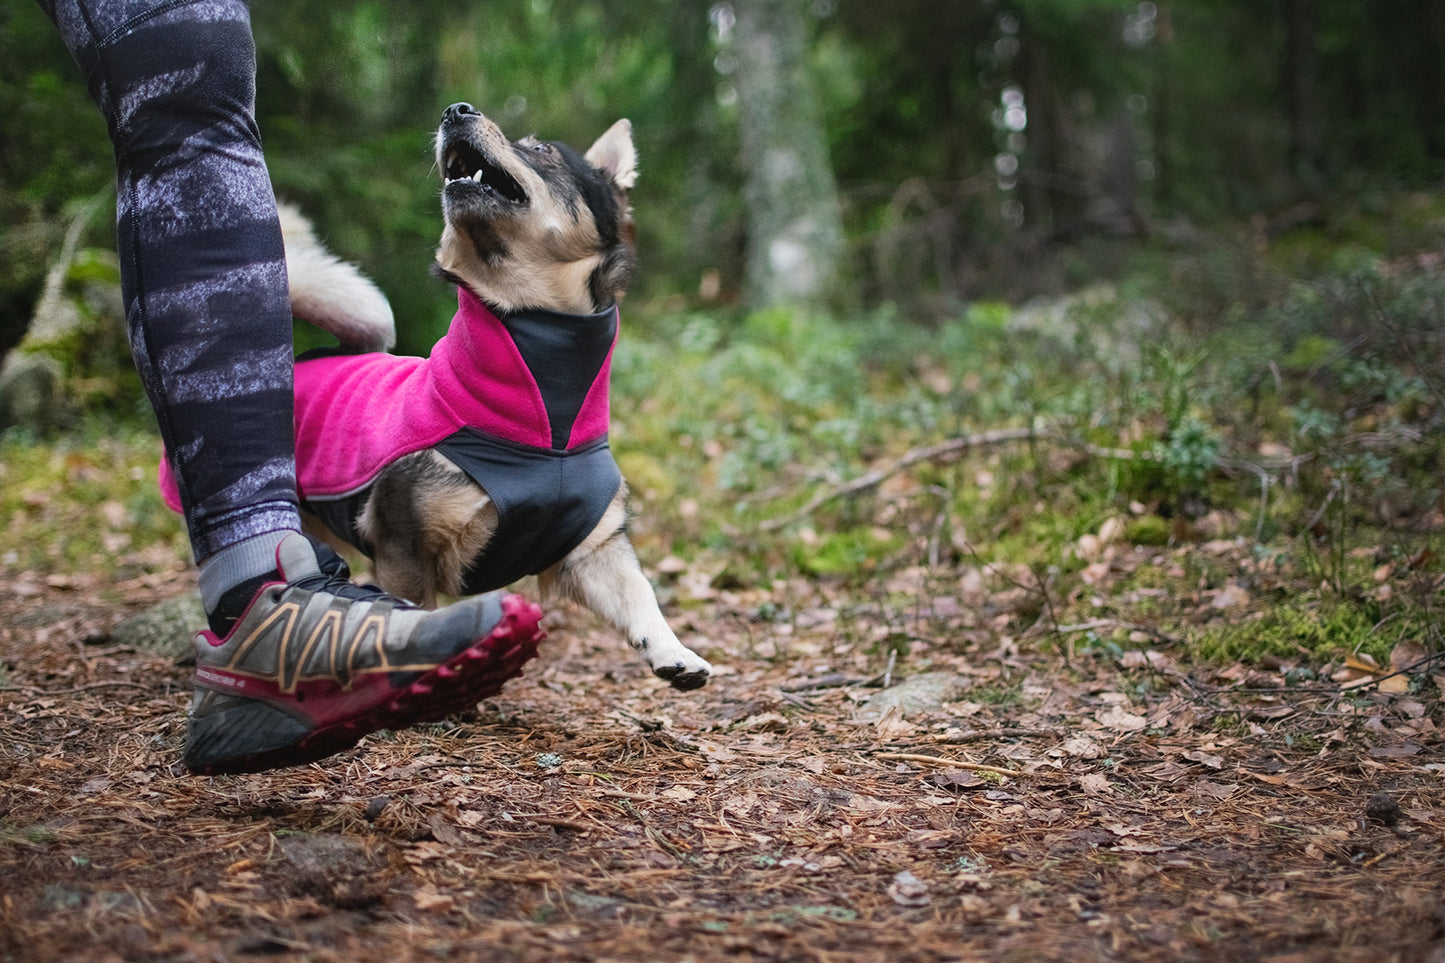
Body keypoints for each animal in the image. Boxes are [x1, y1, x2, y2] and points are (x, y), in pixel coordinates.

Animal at [161, 103, 713, 691]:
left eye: (541, 150)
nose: (456, 110)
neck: (544, 417)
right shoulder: (402, 548)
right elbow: (411, 615)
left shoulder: (594, 549)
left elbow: (641, 595)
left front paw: (674, 651)